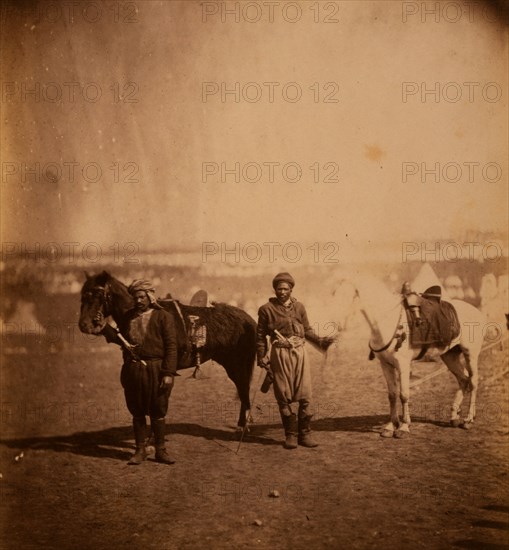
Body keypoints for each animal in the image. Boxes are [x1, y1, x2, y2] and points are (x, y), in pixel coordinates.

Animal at [78, 274, 256, 430]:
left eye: (98, 294)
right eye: (82, 296)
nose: (84, 325)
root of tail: (249, 319)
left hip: (237, 365)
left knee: (243, 390)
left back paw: (243, 425)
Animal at [334, 278, 484, 442]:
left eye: (347, 296)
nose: (336, 324)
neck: (387, 322)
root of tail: (477, 312)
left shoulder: (403, 366)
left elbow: (404, 395)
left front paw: (404, 427)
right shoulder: (385, 365)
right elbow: (392, 395)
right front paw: (390, 426)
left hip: (471, 354)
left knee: (473, 382)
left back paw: (468, 419)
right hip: (450, 355)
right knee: (463, 379)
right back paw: (454, 417)